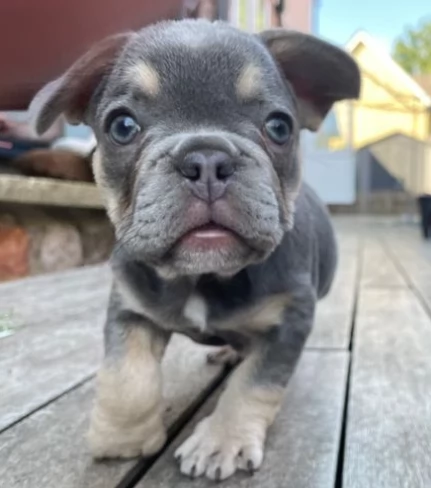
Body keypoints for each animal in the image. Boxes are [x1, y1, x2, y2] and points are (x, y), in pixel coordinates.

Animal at [30, 19, 362, 480]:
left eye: (279, 127)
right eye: (122, 127)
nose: (206, 159)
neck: (203, 276)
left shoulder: (289, 320)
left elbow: (254, 383)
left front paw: (221, 442)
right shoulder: (130, 308)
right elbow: (126, 375)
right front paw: (122, 437)